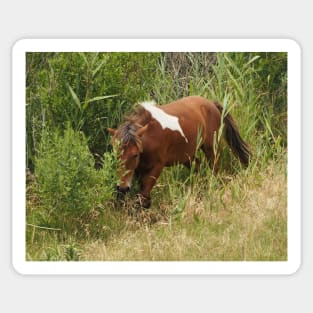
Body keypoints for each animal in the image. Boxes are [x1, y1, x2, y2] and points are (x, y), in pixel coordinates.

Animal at [107, 95, 249, 207]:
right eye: (115, 154)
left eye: (135, 155)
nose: (122, 187)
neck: (150, 135)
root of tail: (211, 103)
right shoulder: (137, 170)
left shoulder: (156, 167)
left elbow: (143, 197)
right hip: (187, 156)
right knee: (197, 166)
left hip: (210, 149)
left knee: (215, 168)